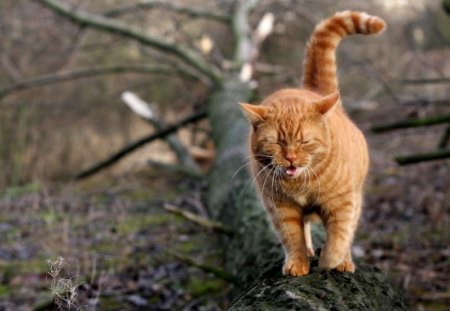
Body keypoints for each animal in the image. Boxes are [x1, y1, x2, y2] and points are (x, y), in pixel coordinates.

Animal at [241, 11, 384, 276]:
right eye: (276, 143)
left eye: (304, 141)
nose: (290, 158)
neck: (300, 185)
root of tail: (315, 92)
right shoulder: (281, 209)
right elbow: (293, 237)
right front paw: (298, 263)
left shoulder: (342, 203)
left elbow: (339, 236)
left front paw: (330, 261)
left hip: (357, 198)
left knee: (349, 232)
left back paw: (345, 262)